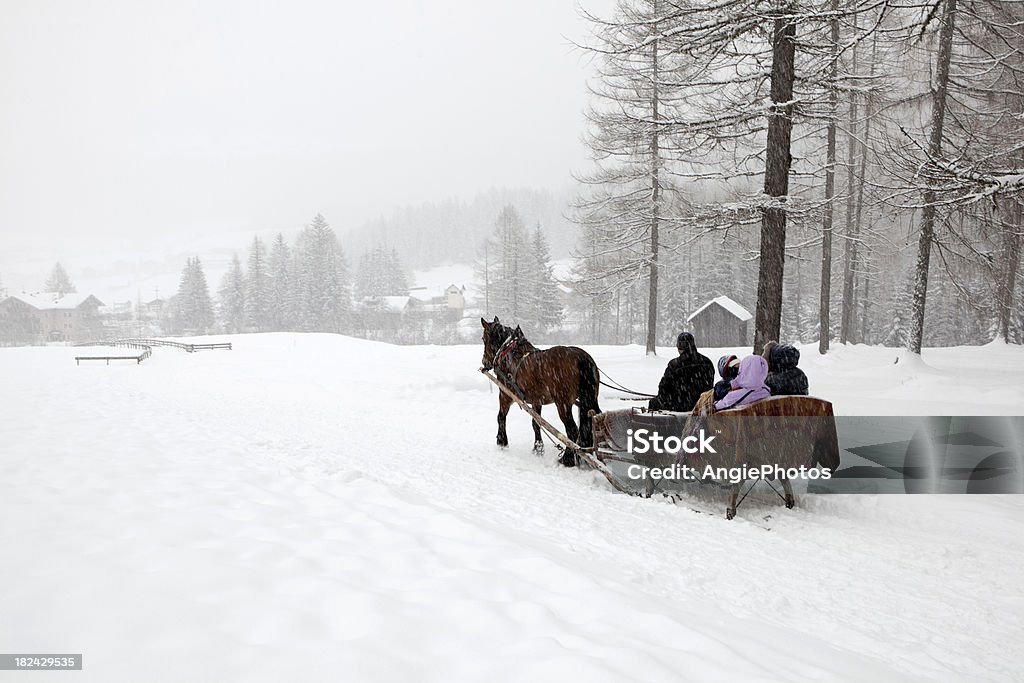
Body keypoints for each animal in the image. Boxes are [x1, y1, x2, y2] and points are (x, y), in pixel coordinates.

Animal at [479, 317, 598, 466]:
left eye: (484, 339)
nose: (484, 361)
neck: (509, 353)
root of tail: (581, 357)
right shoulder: (537, 400)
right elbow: (536, 423)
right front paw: (538, 448)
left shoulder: (505, 394)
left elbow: (501, 416)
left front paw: (502, 441)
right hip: (591, 398)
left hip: (563, 404)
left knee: (572, 431)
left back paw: (567, 458)